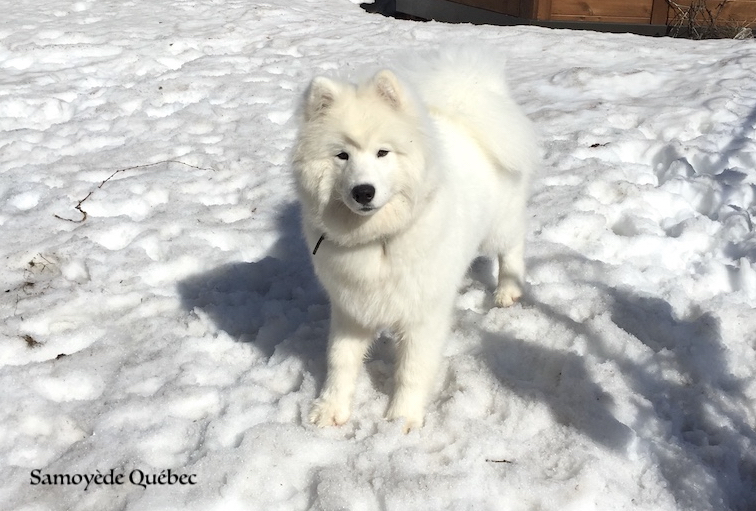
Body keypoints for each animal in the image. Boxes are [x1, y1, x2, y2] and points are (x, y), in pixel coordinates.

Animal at [290, 49, 536, 432]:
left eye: (383, 153)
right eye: (342, 155)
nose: (363, 191)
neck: (379, 240)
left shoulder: (423, 317)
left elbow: (411, 370)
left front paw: (400, 420)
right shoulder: (350, 309)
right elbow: (340, 361)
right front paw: (330, 409)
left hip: (500, 224)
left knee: (512, 248)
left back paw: (508, 291)